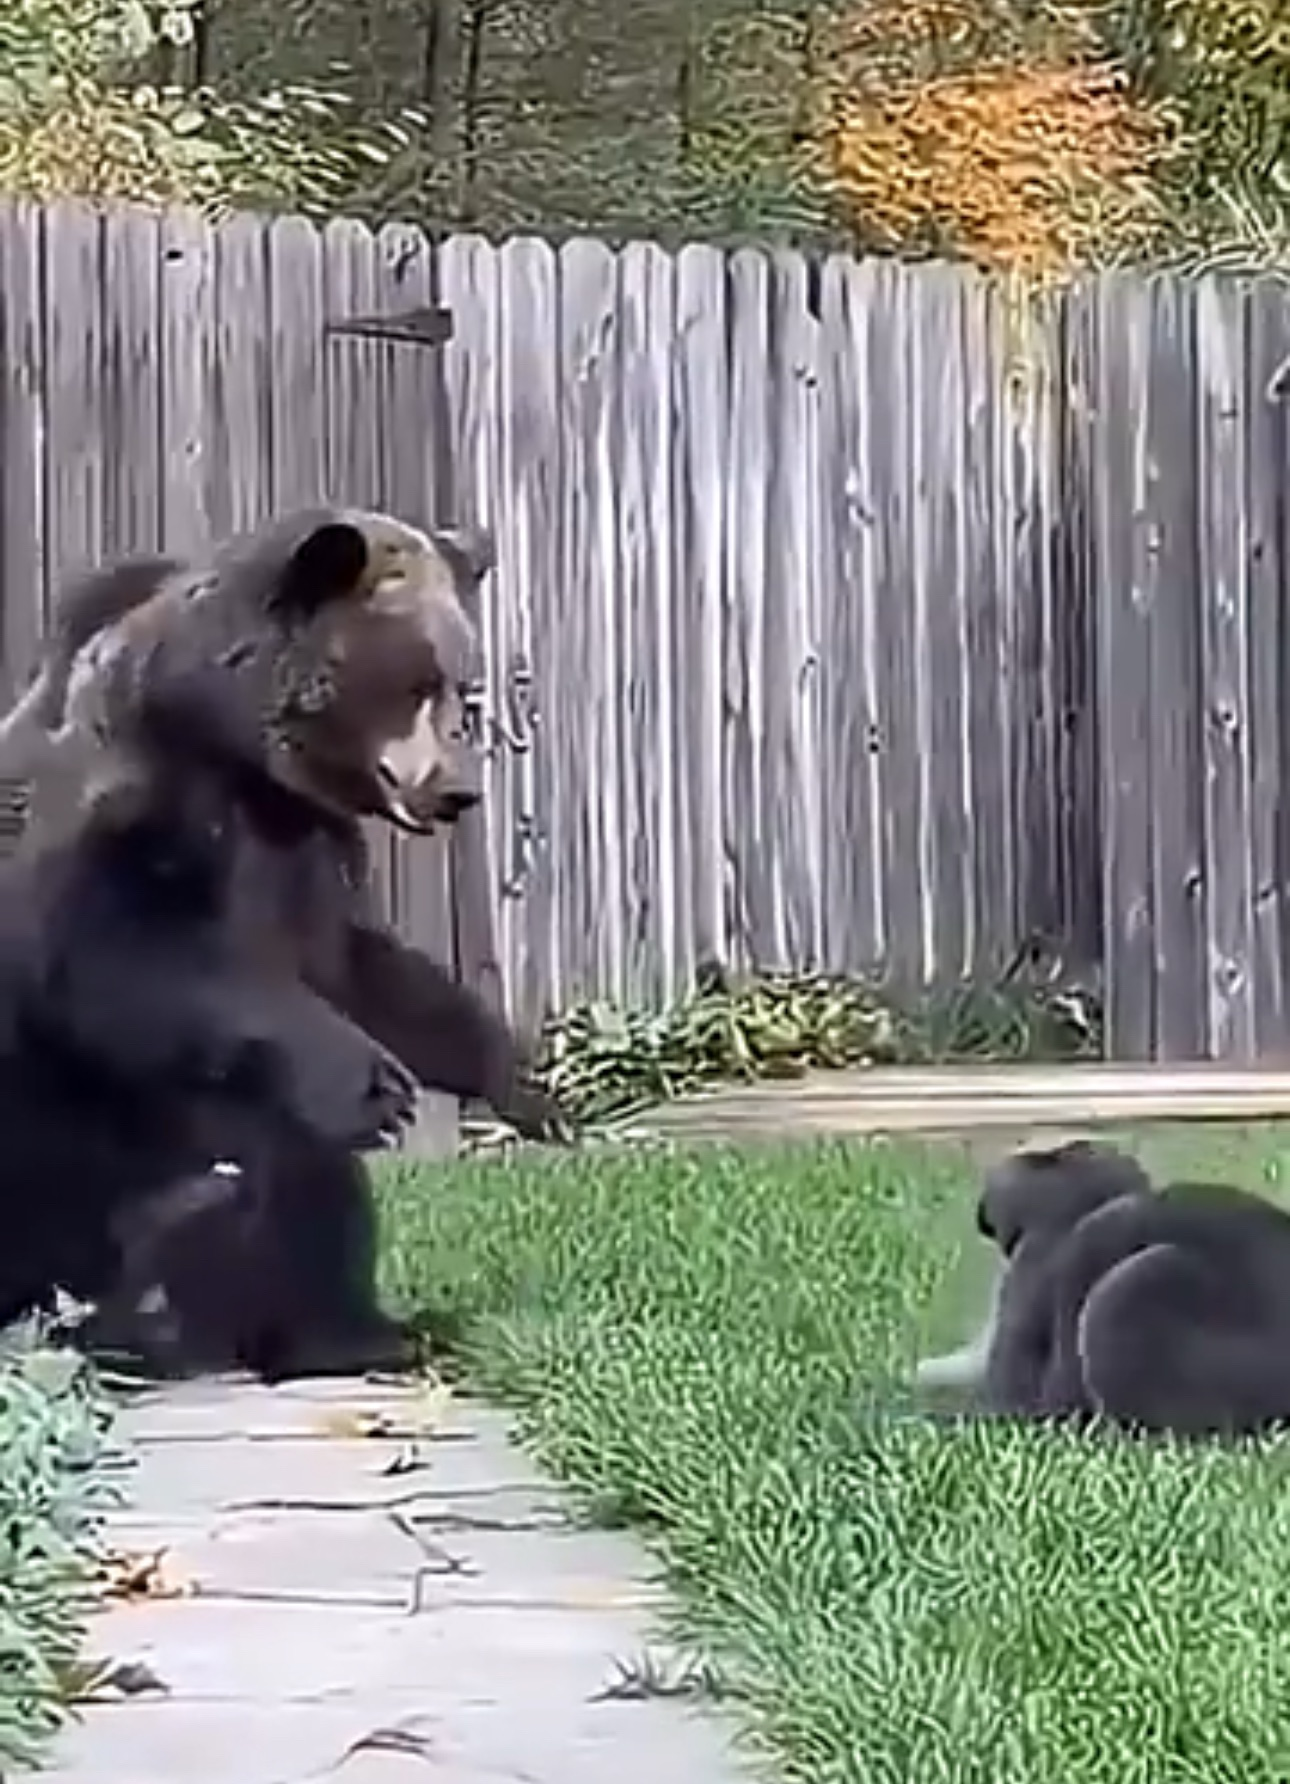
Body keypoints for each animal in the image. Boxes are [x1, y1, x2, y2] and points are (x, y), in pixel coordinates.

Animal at [0, 506, 570, 1379]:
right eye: (417, 684)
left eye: (464, 692)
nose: (457, 791)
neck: (242, 756)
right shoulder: (134, 799)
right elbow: (118, 954)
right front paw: (378, 1088)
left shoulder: (311, 851)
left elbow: (365, 970)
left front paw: (522, 1082)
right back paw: (155, 1319)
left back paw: (345, 1327)